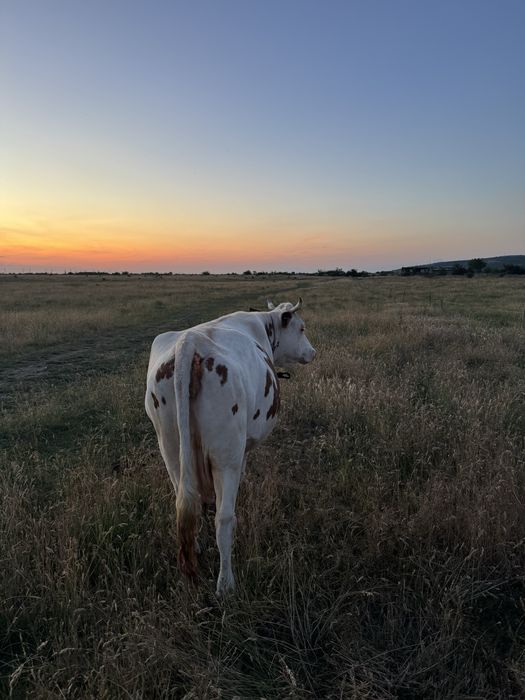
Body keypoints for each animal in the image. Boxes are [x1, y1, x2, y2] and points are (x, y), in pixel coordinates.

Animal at [145, 298, 315, 595]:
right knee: (224, 520)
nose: (312, 352)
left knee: (185, 501)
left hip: (170, 449)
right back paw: (226, 584)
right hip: (226, 456)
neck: (263, 327)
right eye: (301, 327)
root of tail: (189, 343)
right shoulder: (241, 449)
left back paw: (196, 547)